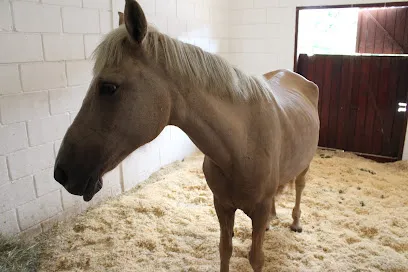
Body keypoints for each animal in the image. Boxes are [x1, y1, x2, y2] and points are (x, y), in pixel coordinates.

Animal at [54, 1, 320, 270]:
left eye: (108, 87)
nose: (61, 173)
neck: (242, 145)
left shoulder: (259, 208)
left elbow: (256, 258)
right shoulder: (222, 205)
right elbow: (225, 249)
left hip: (305, 165)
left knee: (300, 186)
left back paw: (296, 222)